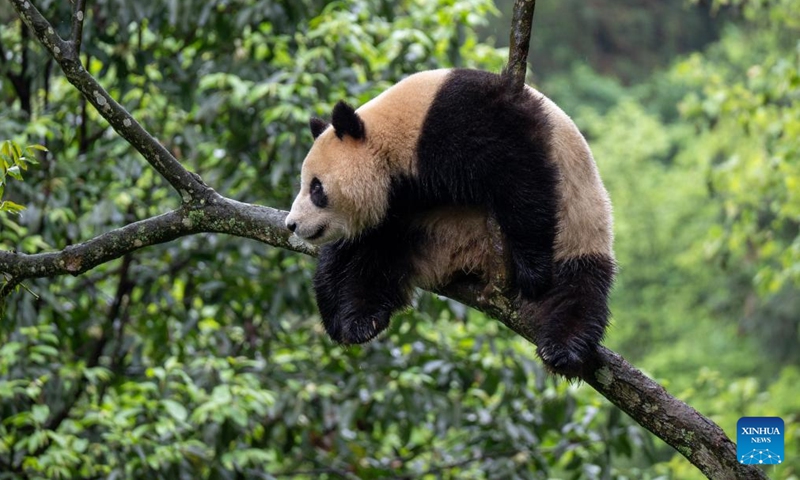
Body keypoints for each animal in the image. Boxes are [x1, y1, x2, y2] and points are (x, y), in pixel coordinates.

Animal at [285, 68, 615, 376]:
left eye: (316, 188)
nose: (292, 224)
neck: (395, 136)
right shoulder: (401, 200)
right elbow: (355, 247)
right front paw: (337, 313)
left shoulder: (469, 119)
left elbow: (521, 177)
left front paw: (532, 272)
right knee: (378, 260)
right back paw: (362, 320)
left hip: (579, 231)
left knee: (577, 292)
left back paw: (562, 349)